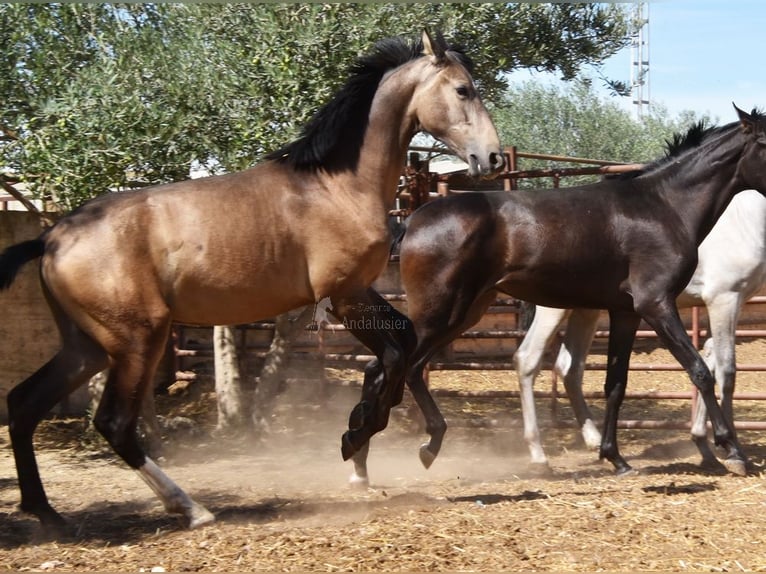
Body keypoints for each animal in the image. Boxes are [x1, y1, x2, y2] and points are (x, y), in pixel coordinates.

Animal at [0, 30, 504, 536]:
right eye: (463, 90)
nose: (493, 157)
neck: (338, 187)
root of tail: (52, 237)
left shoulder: (360, 290)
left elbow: (402, 343)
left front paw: (374, 432)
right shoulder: (344, 295)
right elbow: (398, 355)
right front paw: (356, 437)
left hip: (86, 346)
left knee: (23, 402)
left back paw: (47, 513)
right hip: (138, 339)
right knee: (114, 422)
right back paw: (191, 508)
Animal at [350, 104, 766, 486]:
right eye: (764, 142)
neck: (664, 206)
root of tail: (410, 222)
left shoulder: (627, 312)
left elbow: (617, 383)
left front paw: (615, 457)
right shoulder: (663, 304)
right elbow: (705, 370)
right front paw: (732, 449)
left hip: (468, 312)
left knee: (391, 365)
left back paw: (368, 460)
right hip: (443, 312)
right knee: (401, 365)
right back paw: (419, 447)